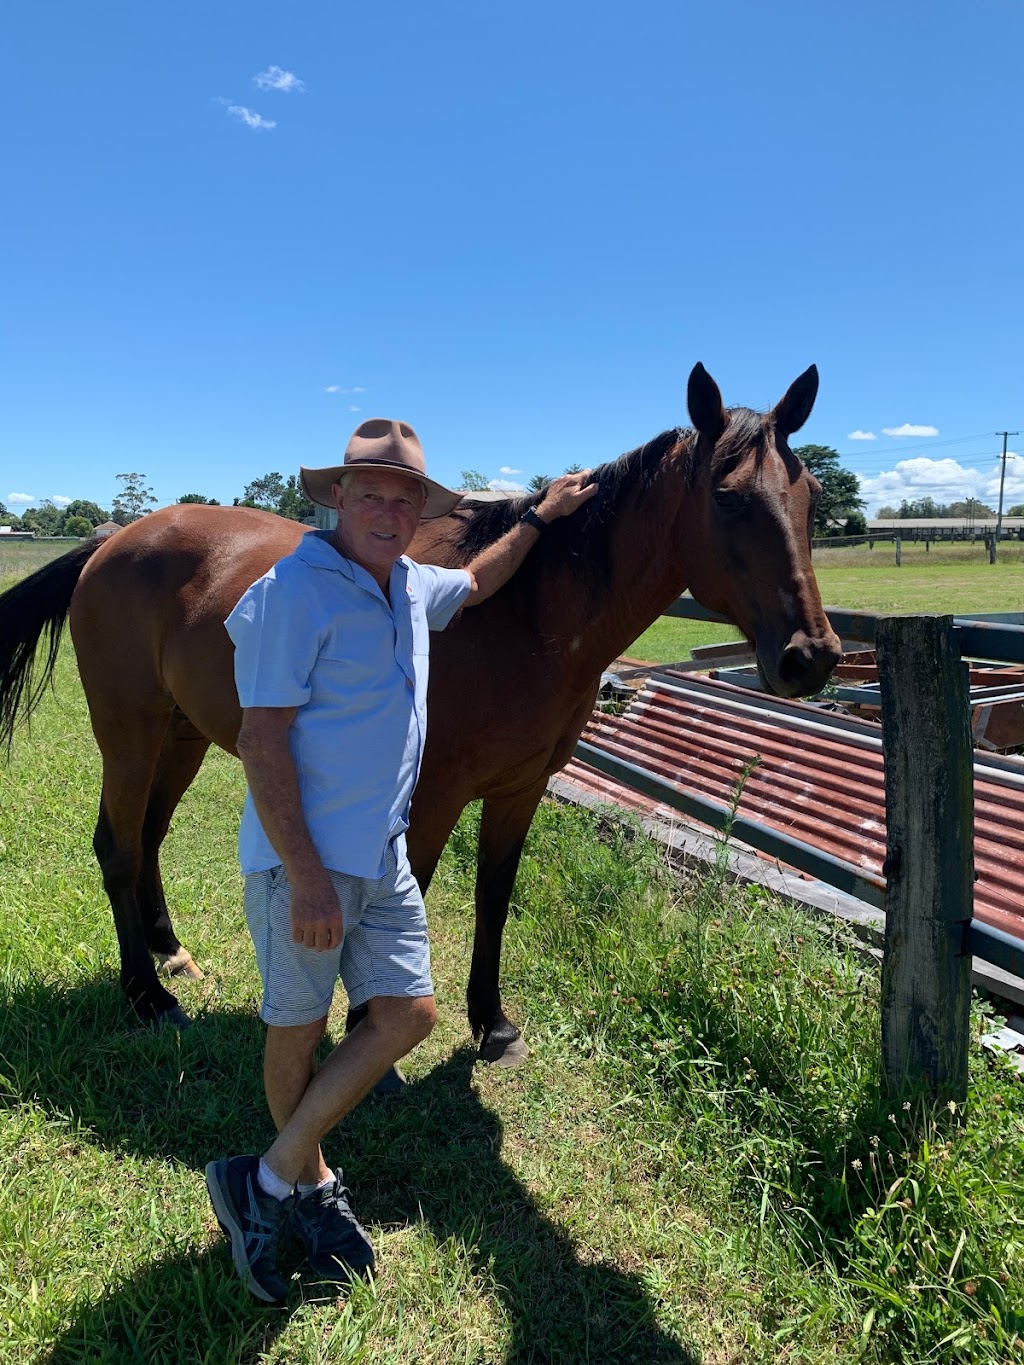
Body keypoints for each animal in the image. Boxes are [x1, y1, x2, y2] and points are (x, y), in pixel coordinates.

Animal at [2, 360, 841, 1053]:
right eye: (728, 499)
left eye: (811, 496)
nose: (813, 656)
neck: (522, 616)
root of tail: (113, 542)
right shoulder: (432, 794)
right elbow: (419, 891)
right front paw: (367, 1027)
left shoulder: (518, 789)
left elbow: (493, 894)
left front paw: (491, 1022)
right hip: (129, 734)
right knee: (117, 845)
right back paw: (146, 995)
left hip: (182, 736)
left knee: (148, 836)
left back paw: (171, 954)